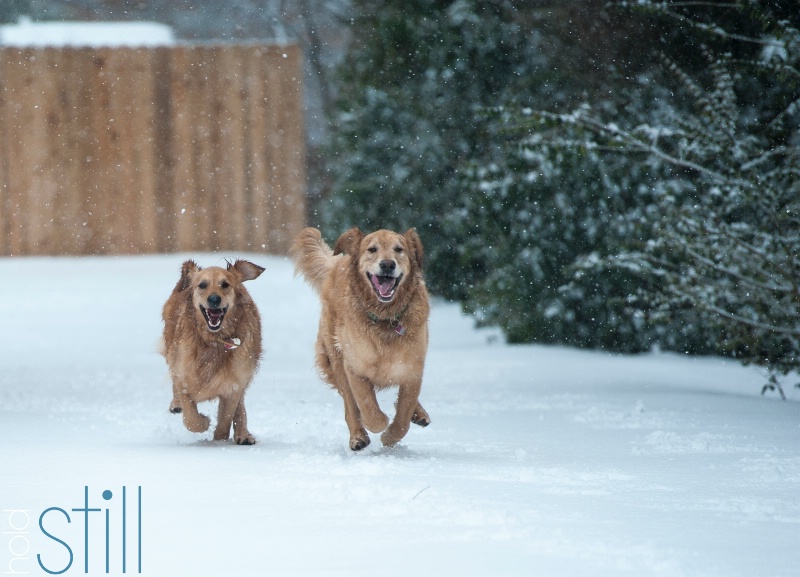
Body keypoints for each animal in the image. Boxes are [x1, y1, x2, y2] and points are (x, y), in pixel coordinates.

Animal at [161, 258, 264, 444]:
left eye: (225, 284)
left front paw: (219, 442)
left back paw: (243, 434)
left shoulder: (234, 384)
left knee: (240, 405)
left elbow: (225, 421)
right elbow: (191, 419)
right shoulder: (183, 376)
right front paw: (204, 422)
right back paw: (176, 404)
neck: (213, 341)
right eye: (202, 285)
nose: (214, 299)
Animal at [290, 225, 432, 450]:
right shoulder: (355, 368)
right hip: (336, 361)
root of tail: (337, 263)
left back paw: (419, 414)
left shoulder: (413, 369)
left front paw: (391, 436)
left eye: (399, 249)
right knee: (350, 407)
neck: (386, 318)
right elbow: (369, 410)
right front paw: (378, 425)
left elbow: (403, 415)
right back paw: (358, 437)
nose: (387, 264)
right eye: (372, 249)